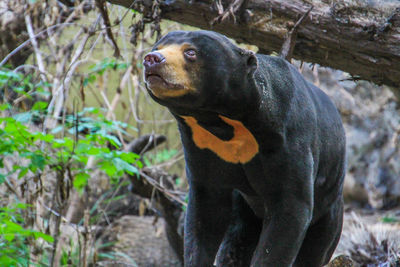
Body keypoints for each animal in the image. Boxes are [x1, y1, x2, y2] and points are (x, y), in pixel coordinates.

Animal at [142, 30, 346, 267]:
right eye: (158, 47)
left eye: (190, 52)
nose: (151, 59)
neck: (222, 121)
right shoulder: (202, 148)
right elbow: (205, 212)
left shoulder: (288, 143)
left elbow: (291, 209)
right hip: (244, 207)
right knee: (236, 242)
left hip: (329, 210)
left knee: (314, 251)